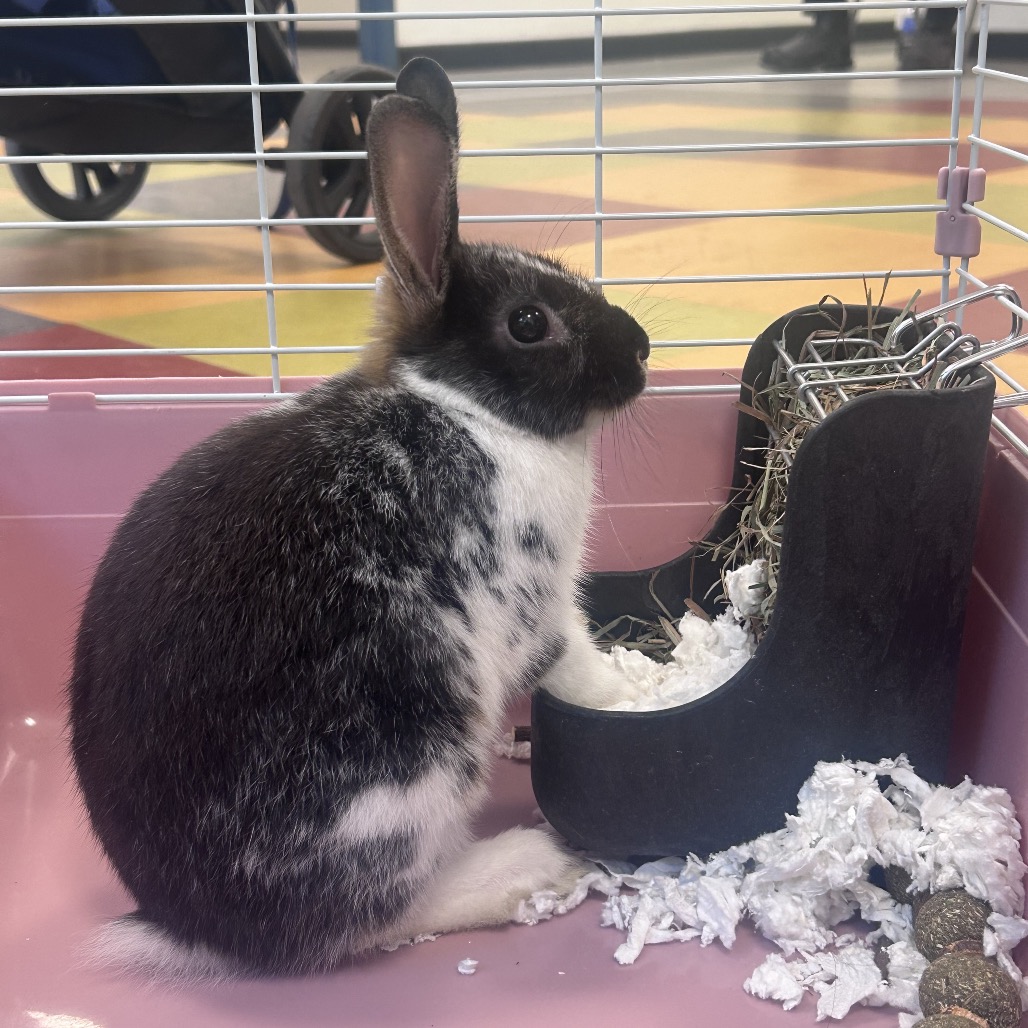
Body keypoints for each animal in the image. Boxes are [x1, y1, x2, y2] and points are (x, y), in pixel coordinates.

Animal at [68, 56, 650, 982]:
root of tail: (201, 929)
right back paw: (525, 866)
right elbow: (573, 662)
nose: (643, 354)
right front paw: (631, 690)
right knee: (376, 916)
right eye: (530, 323)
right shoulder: (533, 601)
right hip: (410, 773)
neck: (466, 409)